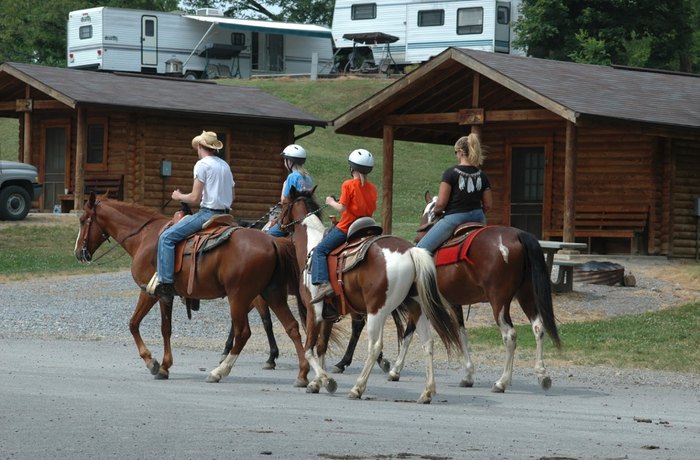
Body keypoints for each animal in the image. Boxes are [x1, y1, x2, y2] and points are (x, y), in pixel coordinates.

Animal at [73, 192, 308, 386]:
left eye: (83, 220)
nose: (78, 253)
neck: (144, 237)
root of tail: (272, 242)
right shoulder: (166, 296)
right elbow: (165, 328)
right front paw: (165, 366)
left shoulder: (149, 291)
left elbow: (134, 324)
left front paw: (153, 363)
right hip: (271, 293)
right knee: (292, 327)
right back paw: (304, 374)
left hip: (240, 297)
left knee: (243, 332)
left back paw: (219, 371)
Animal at [278, 187, 464, 402]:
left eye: (283, 203)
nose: (278, 224)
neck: (312, 248)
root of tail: (411, 251)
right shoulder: (328, 315)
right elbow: (322, 346)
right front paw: (317, 382)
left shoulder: (313, 309)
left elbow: (309, 349)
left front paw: (327, 380)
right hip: (417, 308)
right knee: (428, 343)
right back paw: (427, 392)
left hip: (377, 311)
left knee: (375, 346)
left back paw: (357, 388)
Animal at [388, 192, 556, 394]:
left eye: (425, 211)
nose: (417, 234)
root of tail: (518, 235)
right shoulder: (454, 302)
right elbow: (461, 334)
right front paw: (468, 375)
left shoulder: (424, 301)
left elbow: (408, 333)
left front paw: (395, 370)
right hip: (526, 295)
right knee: (538, 327)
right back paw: (543, 375)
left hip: (499, 301)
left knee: (510, 335)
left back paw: (502, 382)